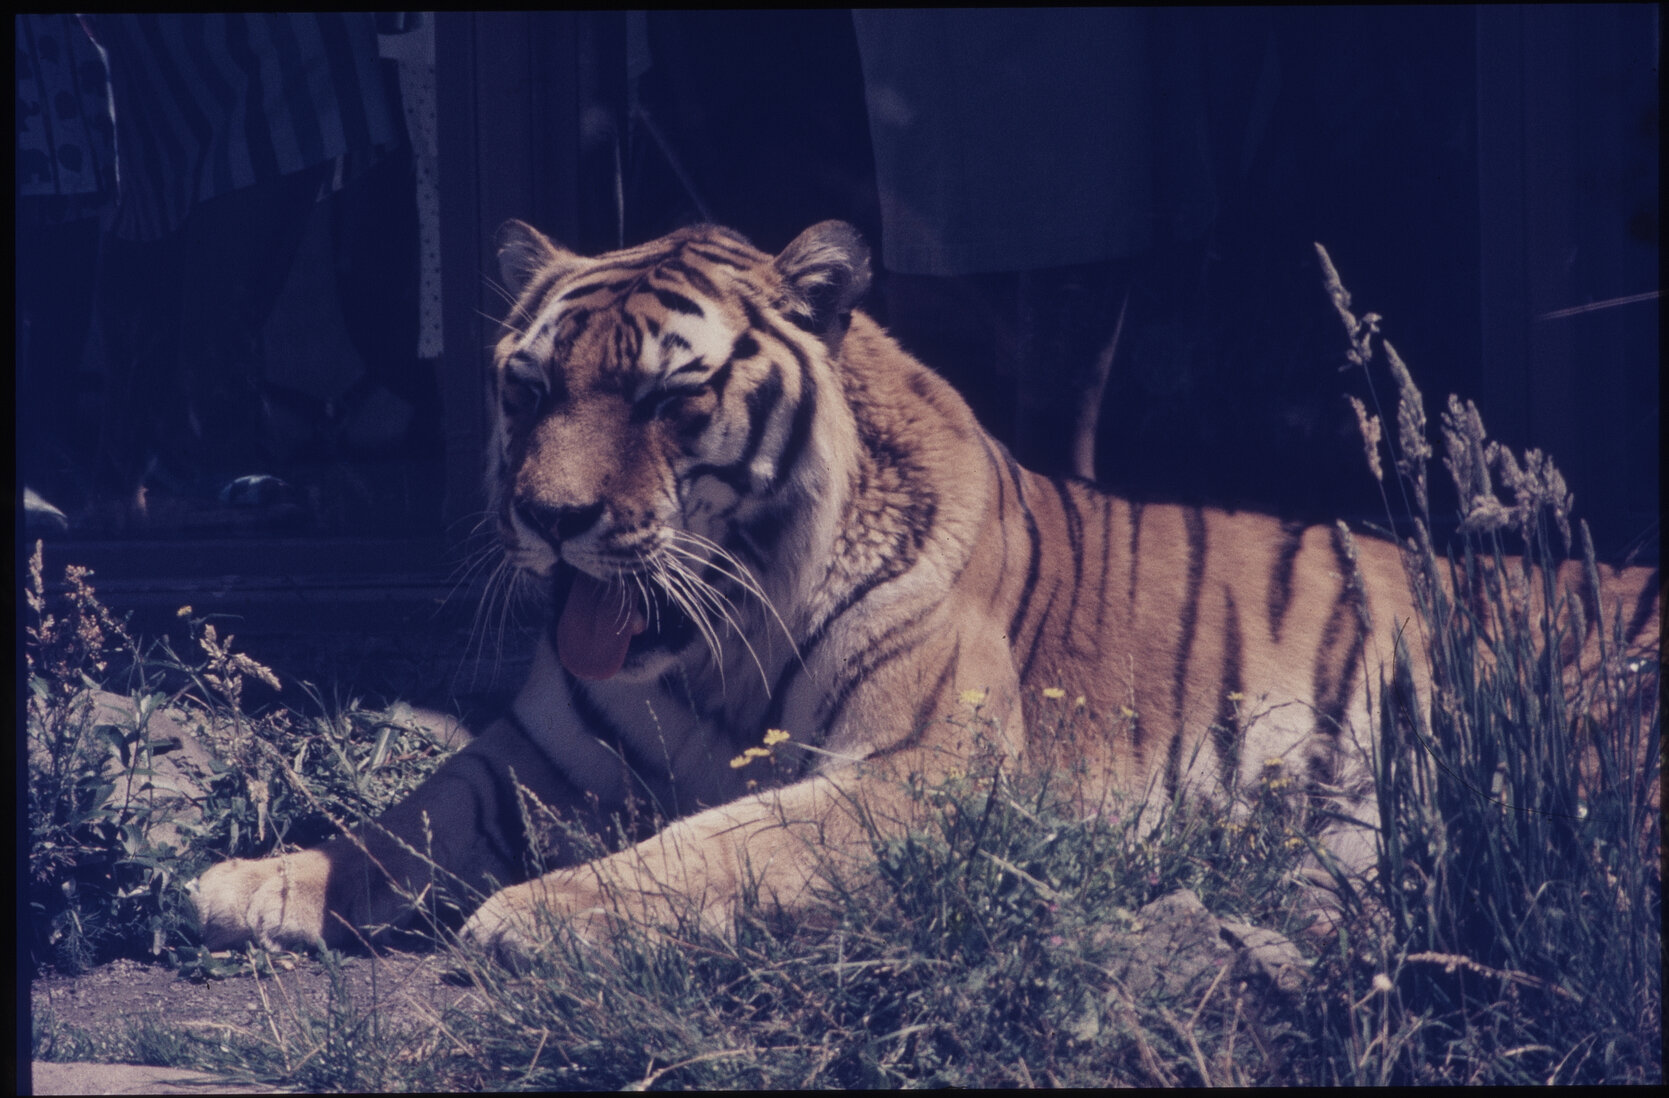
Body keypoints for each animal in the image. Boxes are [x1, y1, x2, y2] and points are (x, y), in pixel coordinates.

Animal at [191, 219, 1661, 960]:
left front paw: (528, 915)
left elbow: (705, 842)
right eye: (528, 386)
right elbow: (404, 820)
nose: (550, 522)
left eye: (670, 394)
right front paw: (259, 882)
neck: (710, 642)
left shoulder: (913, 769)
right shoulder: (536, 757)